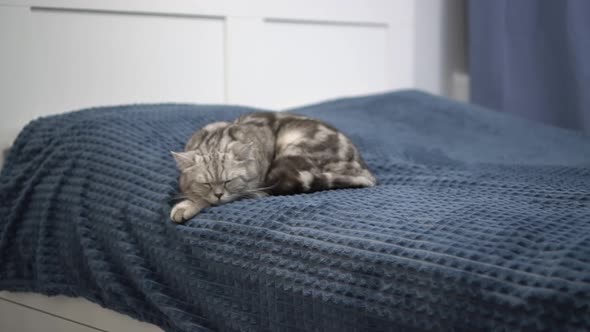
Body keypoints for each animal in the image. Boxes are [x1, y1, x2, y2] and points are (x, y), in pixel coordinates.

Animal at [169, 111, 376, 223]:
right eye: (206, 184)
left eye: (229, 181)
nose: (218, 194)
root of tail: (366, 171)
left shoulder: (253, 188)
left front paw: (186, 207)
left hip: (294, 145)